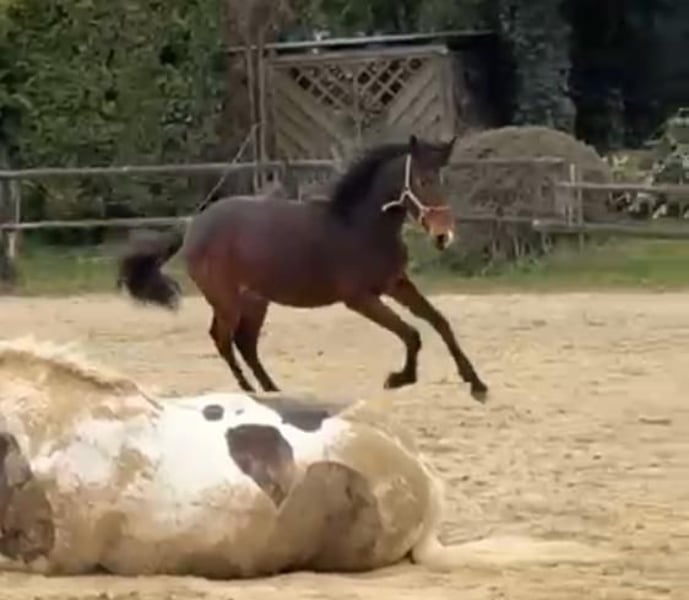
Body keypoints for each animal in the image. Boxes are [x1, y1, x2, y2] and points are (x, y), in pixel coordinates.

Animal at [117, 135, 489, 402]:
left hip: (256, 301)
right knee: (223, 340)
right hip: (227, 300)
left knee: (245, 343)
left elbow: (438, 322)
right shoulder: (359, 298)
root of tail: (193, 226)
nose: (444, 236)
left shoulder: (395, 283)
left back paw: (272, 390)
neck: (359, 226)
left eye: (442, 179)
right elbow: (411, 333)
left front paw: (477, 384)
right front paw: (398, 379)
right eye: (422, 180)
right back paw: (251, 393)